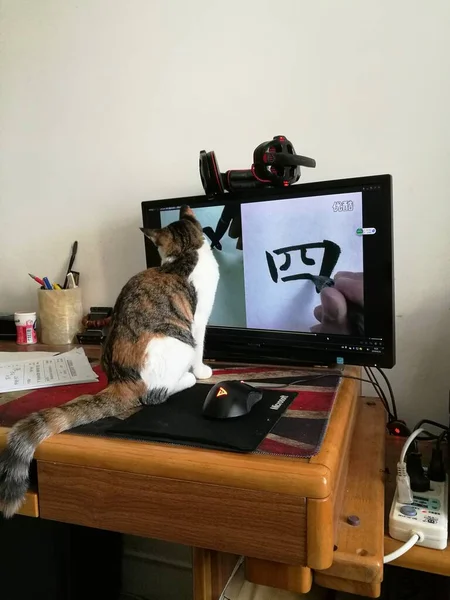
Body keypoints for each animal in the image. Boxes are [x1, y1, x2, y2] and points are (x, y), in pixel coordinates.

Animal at [0, 205, 220, 516]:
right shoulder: (199, 321)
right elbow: (201, 347)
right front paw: (202, 371)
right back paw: (186, 379)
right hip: (179, 340)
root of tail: (121, 380)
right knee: (156, 393)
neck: (184, 253)